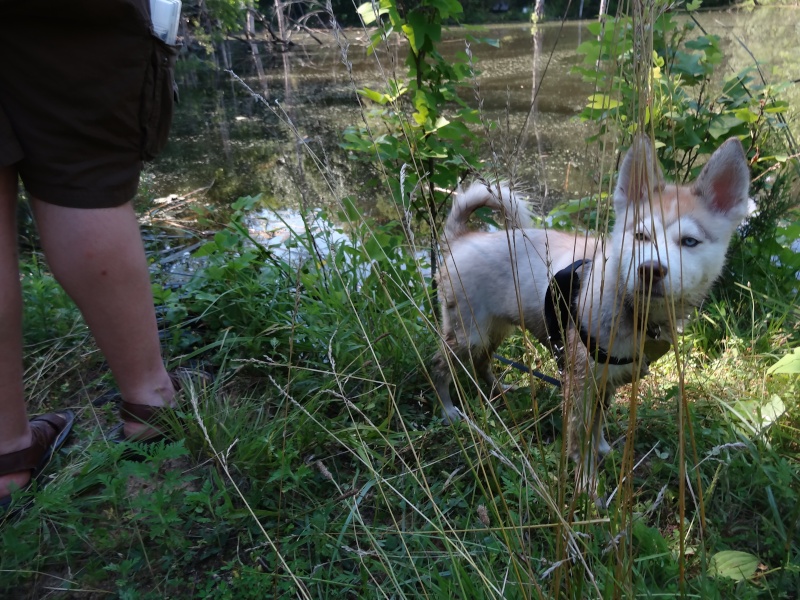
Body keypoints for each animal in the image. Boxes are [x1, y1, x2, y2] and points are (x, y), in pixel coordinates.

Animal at [432, 138, 752, 490]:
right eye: (641, 236)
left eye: (690, 241)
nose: (650, 270)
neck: (631, 311)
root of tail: (462, 240)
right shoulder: (580, 385)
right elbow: (579, 440)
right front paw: (587, 486)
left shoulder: (606, 383)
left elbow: (598, 424)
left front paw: (601, 449)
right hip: (467, 333)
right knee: (439, 366)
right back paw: (447, 409)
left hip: (495, 329)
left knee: (482, 362)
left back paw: (497, 391)